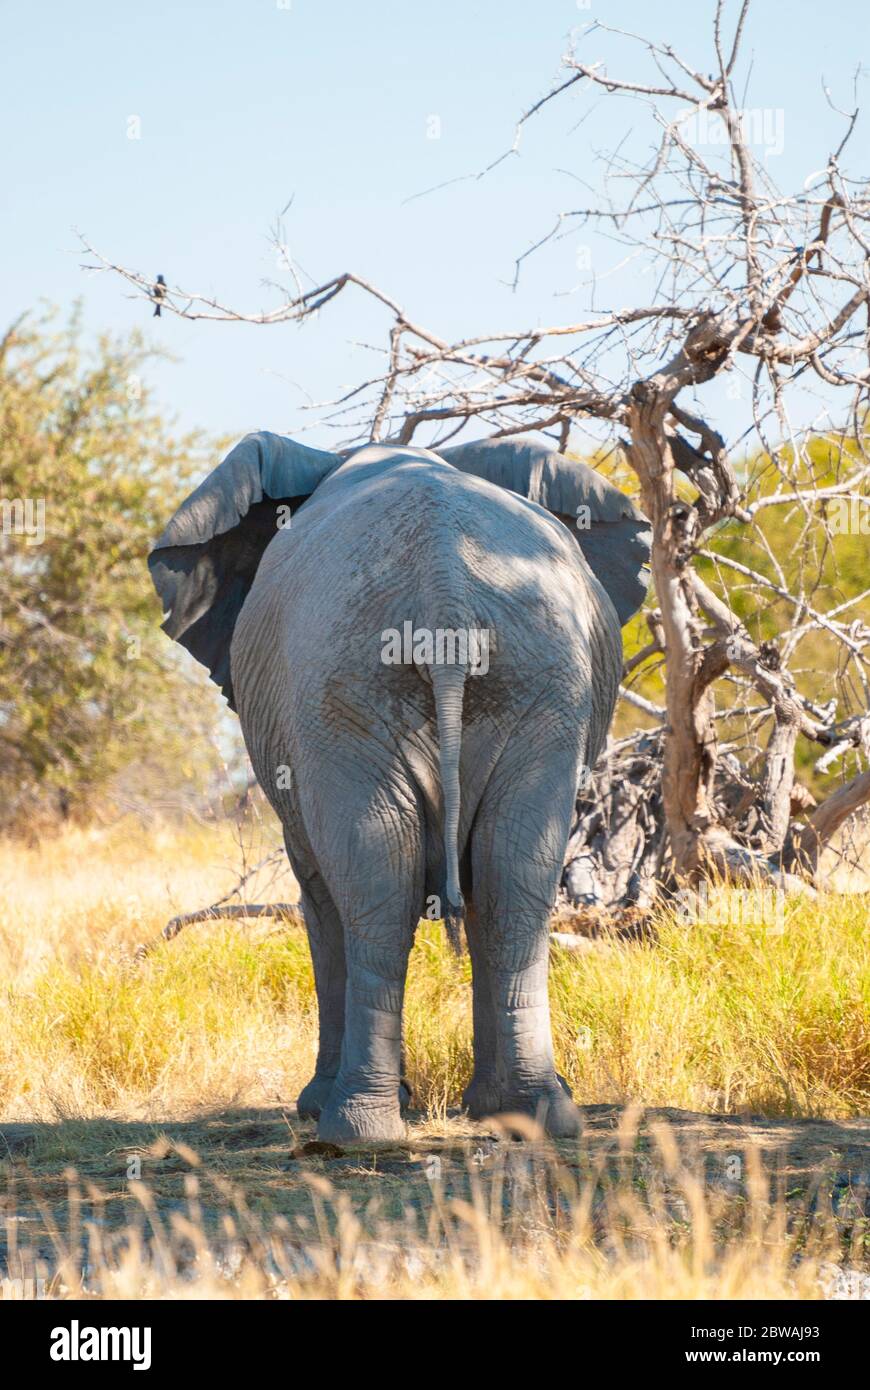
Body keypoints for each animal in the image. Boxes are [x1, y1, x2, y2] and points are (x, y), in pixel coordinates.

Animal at [148, 430, 647, 1139]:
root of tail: (445, 587)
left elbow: (318, 890)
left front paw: (314, 1104)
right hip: (535, 684)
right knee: (511, 878)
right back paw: (532, 1115)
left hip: (351, 689)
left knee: (376, 883)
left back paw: (351, 1132)